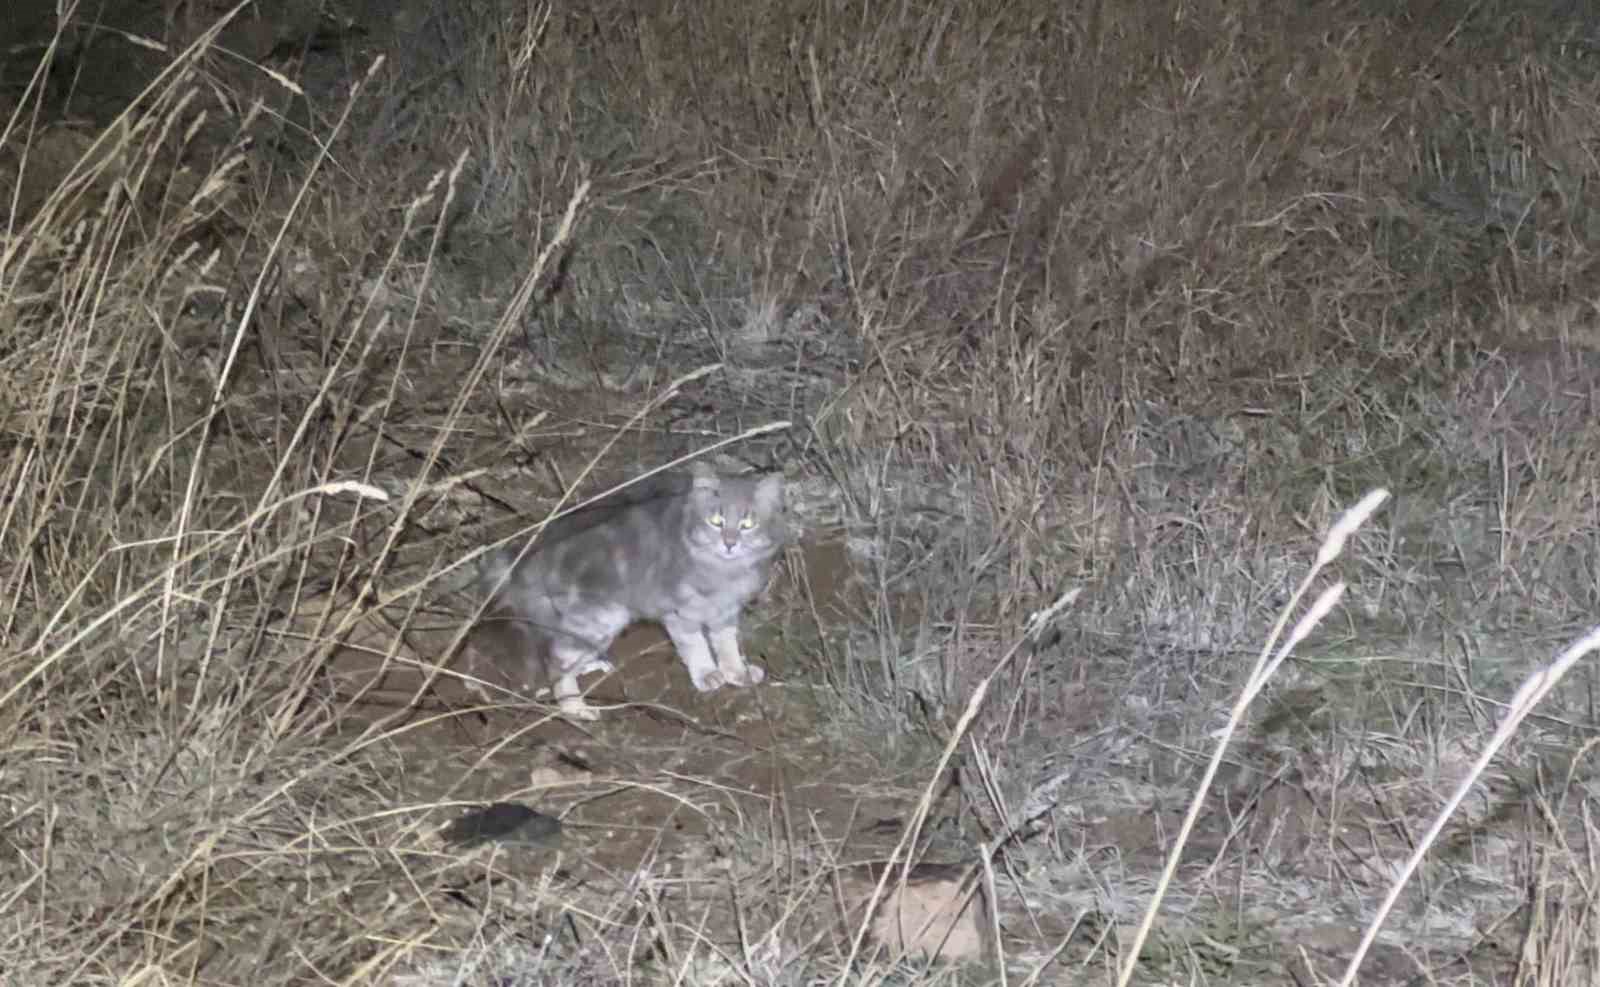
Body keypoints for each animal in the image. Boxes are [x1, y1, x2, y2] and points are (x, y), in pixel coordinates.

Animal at [467, 457, 784, 719]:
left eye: (748, 523)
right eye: (716, 520)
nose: (730, 544)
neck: (724, 571)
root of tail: (521, 559)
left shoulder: (725, 612)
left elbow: (727, 645)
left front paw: (737, 673)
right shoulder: (679, 612)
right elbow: (696, 647)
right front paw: (708, 675)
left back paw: (592, 668)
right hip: (600, 618)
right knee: (556, 662)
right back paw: (576, 709)